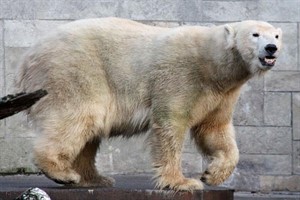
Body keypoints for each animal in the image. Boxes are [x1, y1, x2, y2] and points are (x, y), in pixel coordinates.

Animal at [16, 18, 282, 191]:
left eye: (276, 35)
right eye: (255, 34)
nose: (271, 48)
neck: (213, 64)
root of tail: (28, 57)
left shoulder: (222, 94)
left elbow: (215, 130)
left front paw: (212, 175)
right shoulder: (181, 76)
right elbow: (170, 123)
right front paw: (182, 182)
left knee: (89, 130)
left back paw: (95, 178)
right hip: (75, 70)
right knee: (77, 117)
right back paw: (63, 172)